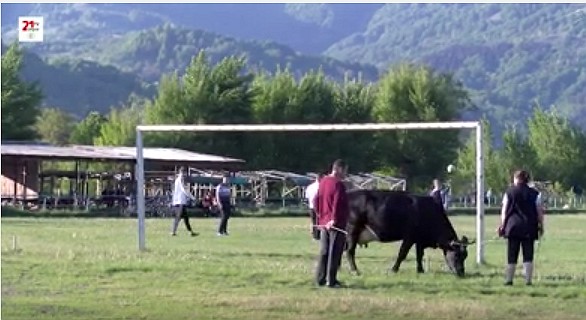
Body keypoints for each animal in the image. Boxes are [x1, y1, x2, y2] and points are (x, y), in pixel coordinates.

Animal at [344, 190, 472, 278]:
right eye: (457, 255)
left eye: (465, 255)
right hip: (352, 230)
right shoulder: (409, 237)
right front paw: (393, 270)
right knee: (350, 251)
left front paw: (420, 270)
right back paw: (355, 270)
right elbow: (402, 254)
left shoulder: (420, 240)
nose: (461, 272)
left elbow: (419, 255)